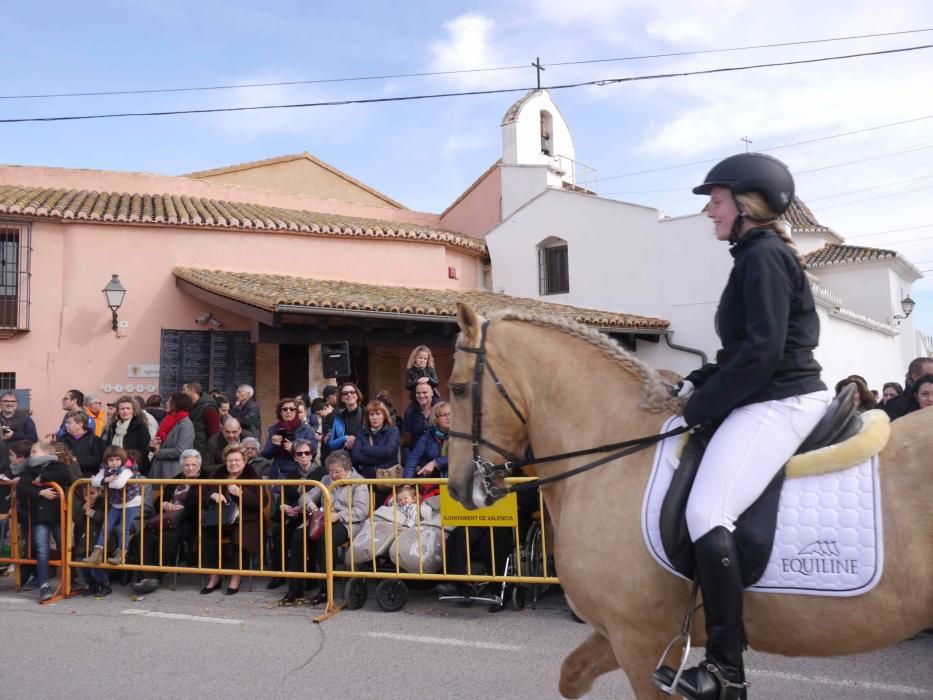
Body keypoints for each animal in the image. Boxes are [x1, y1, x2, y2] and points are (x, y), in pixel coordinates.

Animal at [444, 304, 932, 700]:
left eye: (457, 388)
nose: (458, 487)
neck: (617, 454)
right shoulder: (624, 635)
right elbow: (571, 676)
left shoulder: (639, 641)